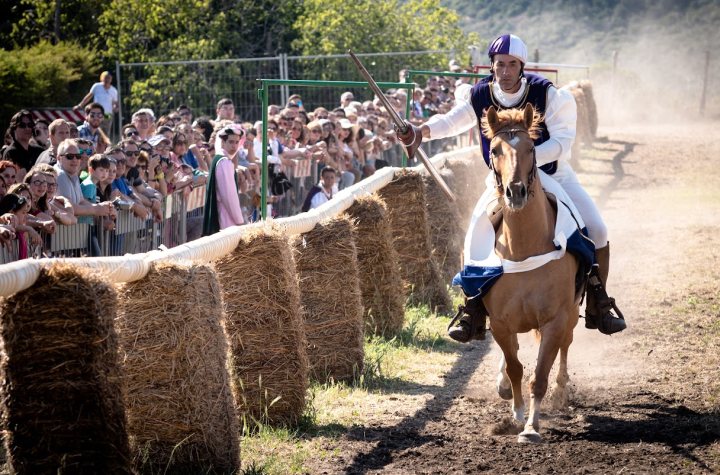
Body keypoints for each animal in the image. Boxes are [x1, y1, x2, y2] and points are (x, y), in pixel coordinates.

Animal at [480, 102, 584, 444]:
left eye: (530, 147)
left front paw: (531, 427)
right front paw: (516, 415)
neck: (524, 248)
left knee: (566, 345)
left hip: (570, 314)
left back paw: (561, 390)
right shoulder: (500, 321)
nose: (516, 192)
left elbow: (539, 374)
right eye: (495, 150)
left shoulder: (555, 320)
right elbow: (515, 367)